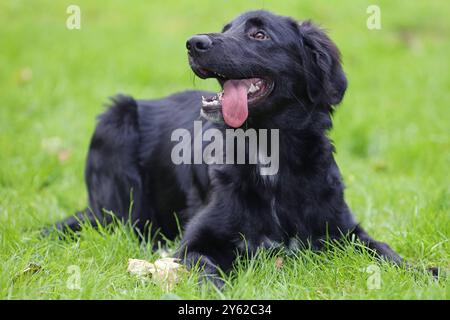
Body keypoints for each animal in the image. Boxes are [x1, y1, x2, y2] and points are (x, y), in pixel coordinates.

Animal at [52, 10, 404, 284]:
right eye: (225, 29)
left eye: (259, 34)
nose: (193, 43)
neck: (268, 152)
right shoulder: (195, 242)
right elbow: (206, 267)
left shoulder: (344, 230)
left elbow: (387, 252)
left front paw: (416, 273)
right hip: (115, 121)